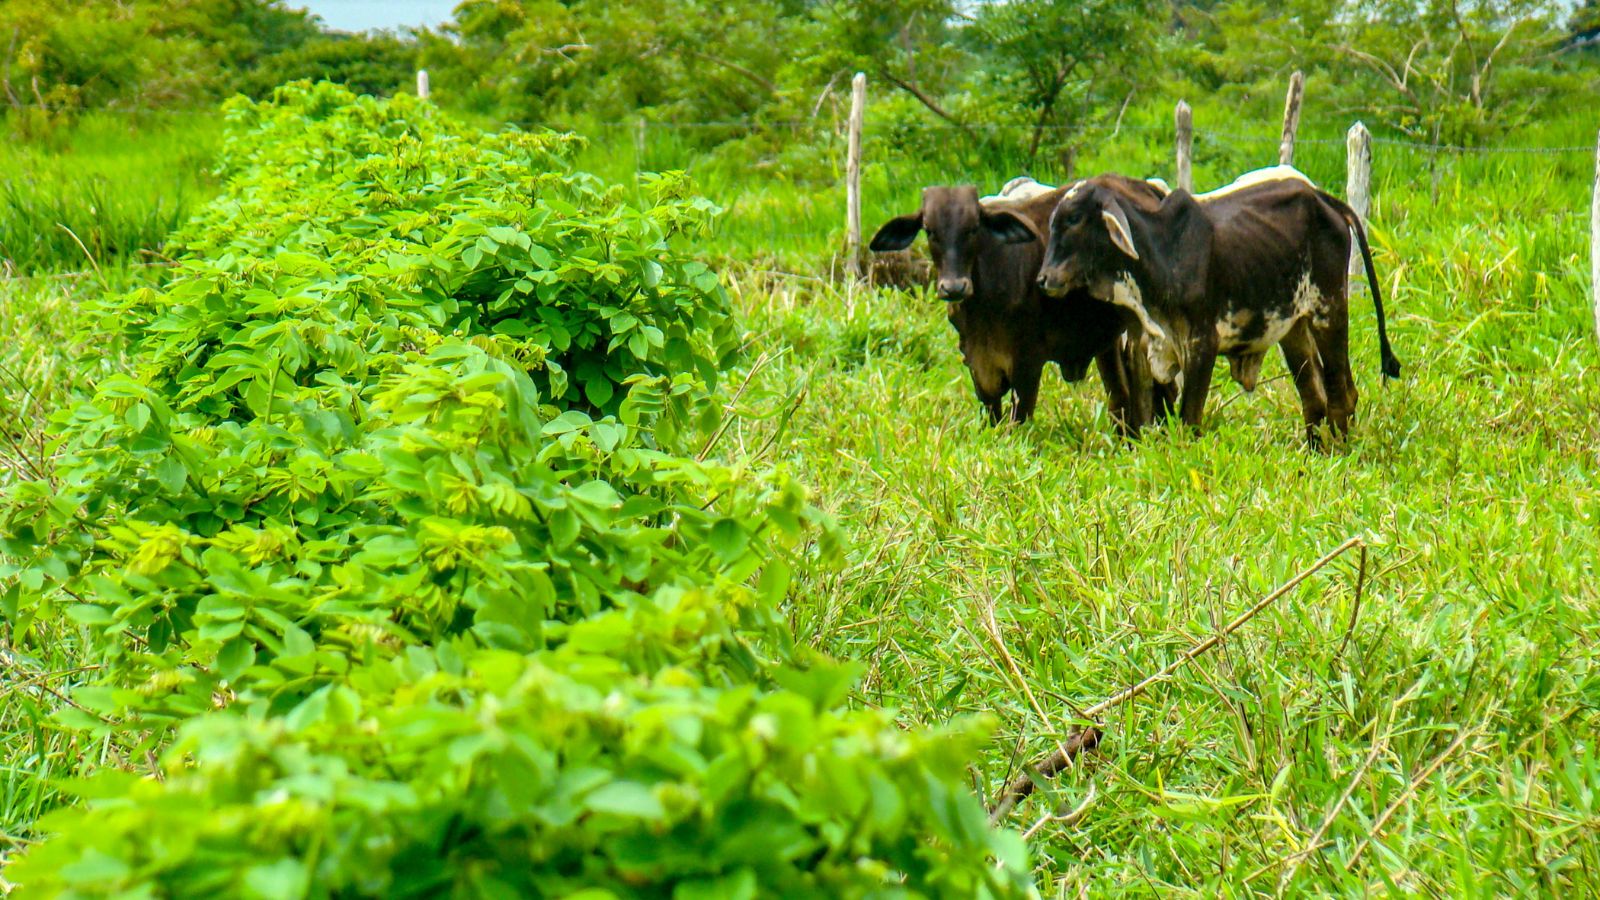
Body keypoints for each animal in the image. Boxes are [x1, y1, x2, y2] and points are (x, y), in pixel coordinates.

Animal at [998, 165, 1401, 445]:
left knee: (1341, 394)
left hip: (1328, 311)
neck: (1162, 254)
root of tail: (1324, 199)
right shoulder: (1143, 346)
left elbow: (1188, 419)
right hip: (1294, 327)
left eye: (1075, 219)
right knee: (1313, 397)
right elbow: (1142, 416)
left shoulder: (1202, 343)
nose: (1044, 279)